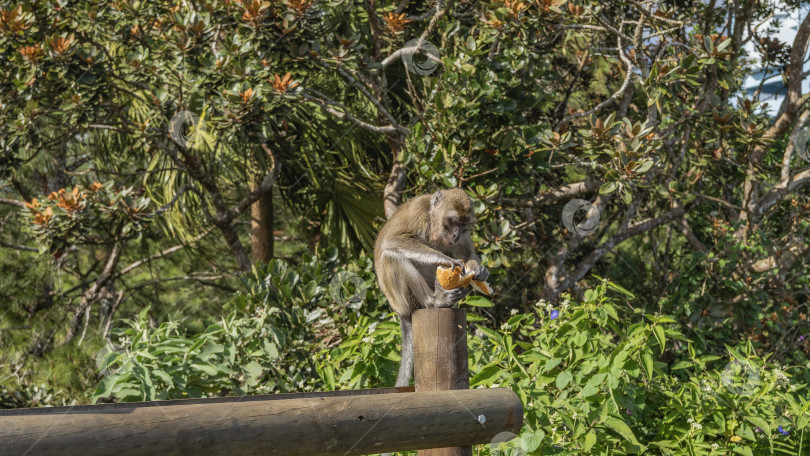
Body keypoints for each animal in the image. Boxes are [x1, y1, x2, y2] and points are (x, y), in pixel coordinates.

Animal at [372, 187, 486, 386]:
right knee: (391, 256)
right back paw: (435, 302)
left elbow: (466, 252)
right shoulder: (418, 213)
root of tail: (400, 311)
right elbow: (392, 241)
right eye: (453, 221)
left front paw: (478, 269)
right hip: (403, 300)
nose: (456, 235)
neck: (433, 223)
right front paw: (446, 259)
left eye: (463, 225)